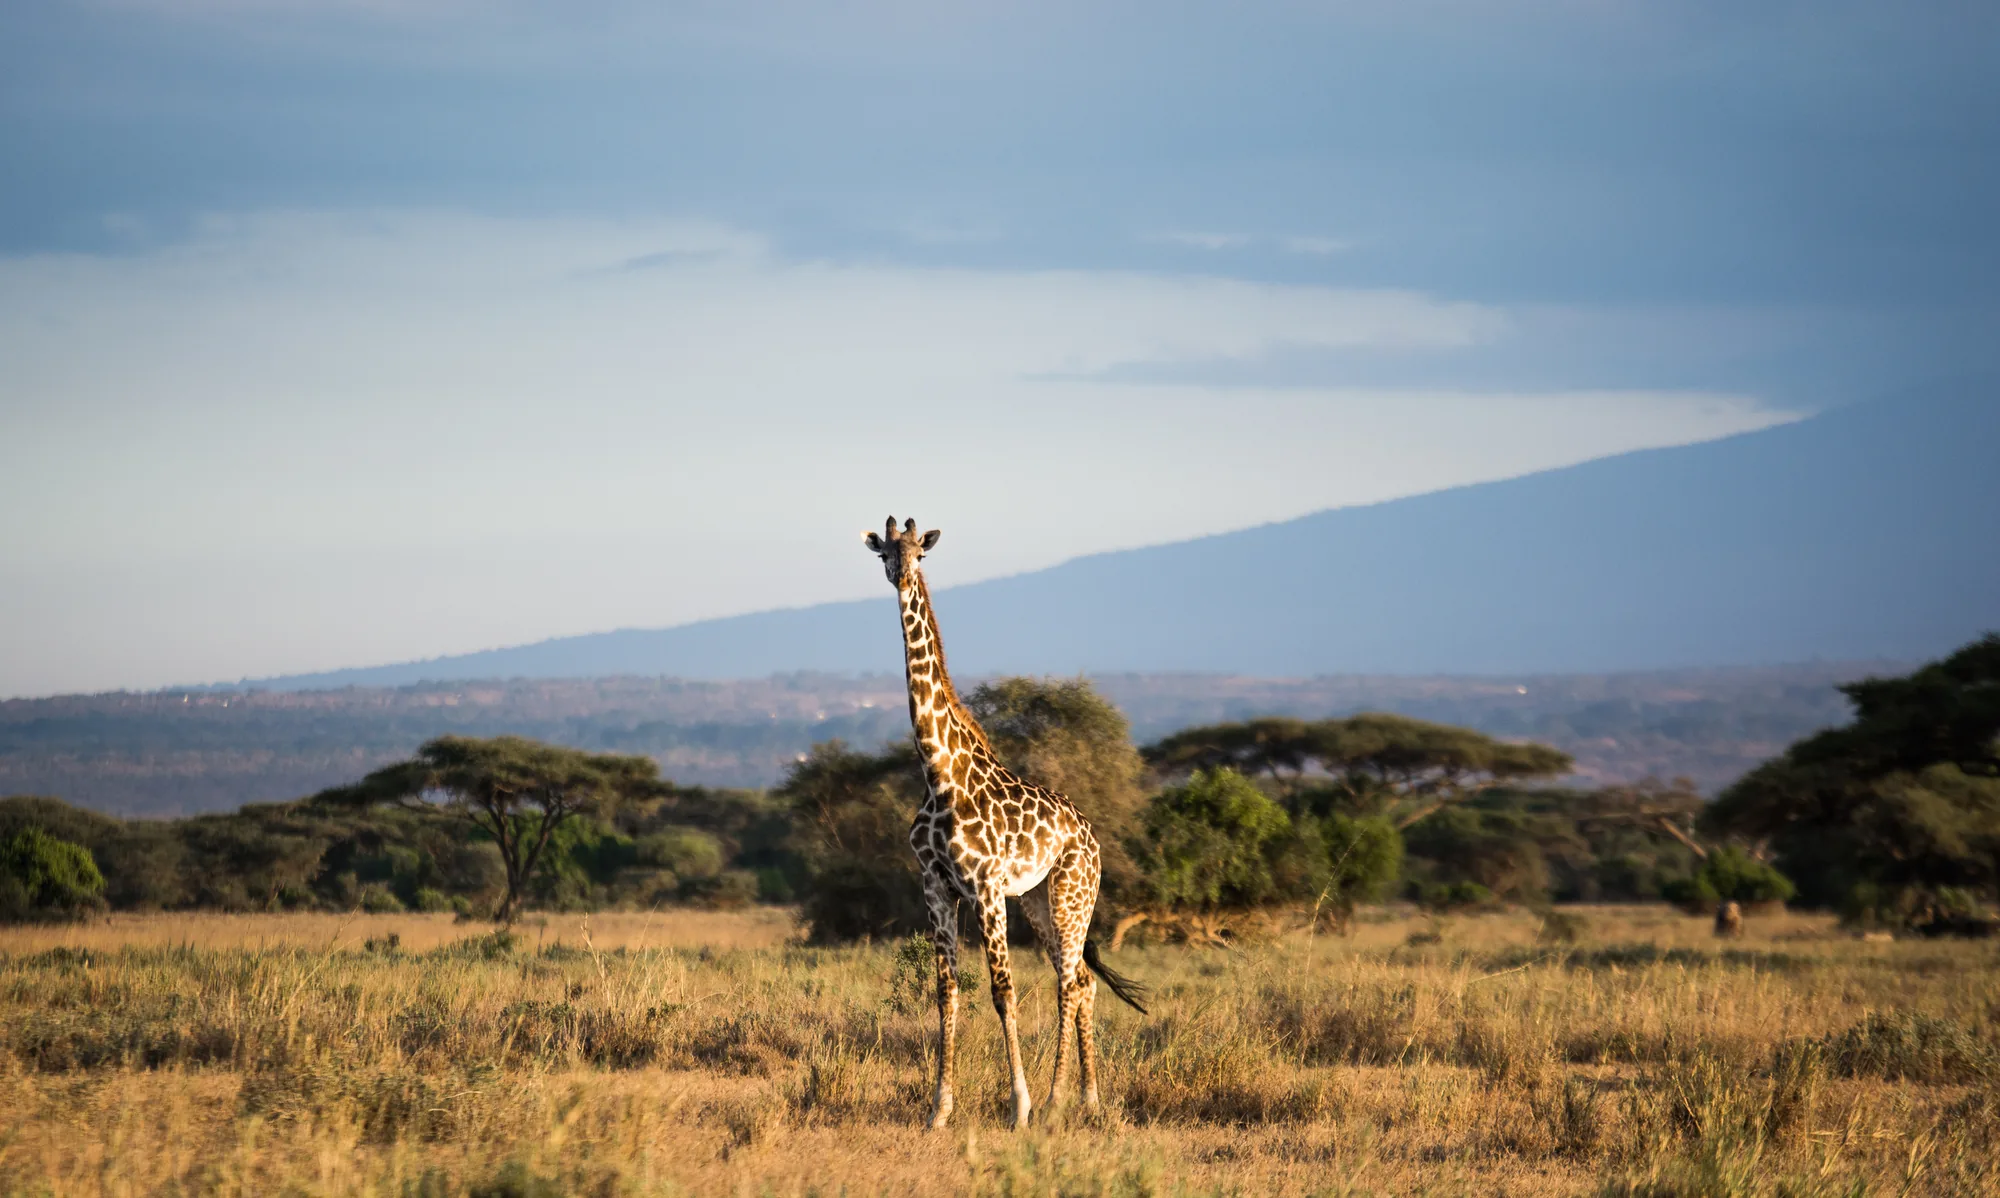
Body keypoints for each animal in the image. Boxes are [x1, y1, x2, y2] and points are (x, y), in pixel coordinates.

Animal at [864, 516, 1148, 1131]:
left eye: (920, 553)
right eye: (885, 555)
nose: (902, 578)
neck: (938, 772)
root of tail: (1091, 836)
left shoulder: (986, 887)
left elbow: (1002, 992)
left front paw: (1018, 1106)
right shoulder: (936, 887)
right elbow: (946, 992)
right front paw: (938, 1111)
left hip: (1071, 895)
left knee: (1069, 982)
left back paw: (1056, 1102)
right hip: (1037, 901)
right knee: (1083, 981)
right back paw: (1088, 1098)